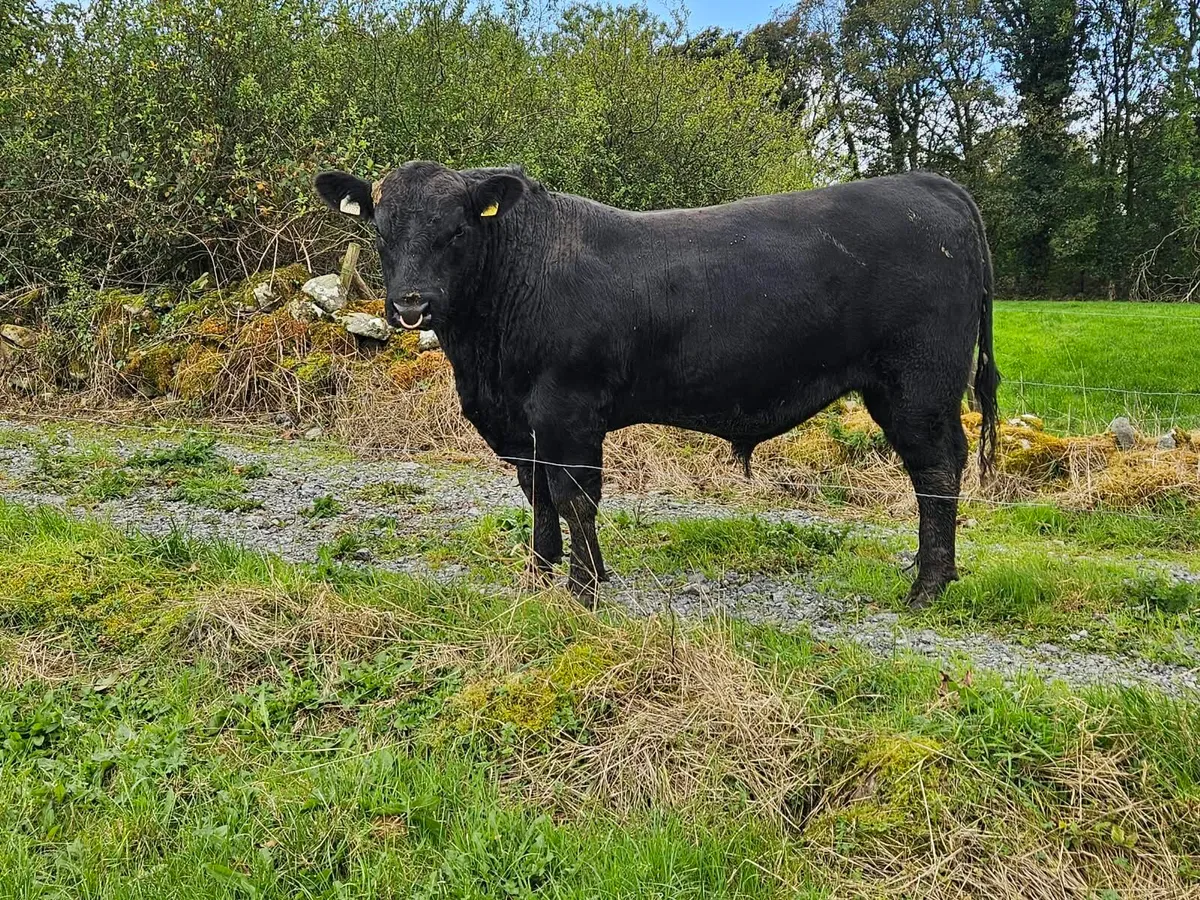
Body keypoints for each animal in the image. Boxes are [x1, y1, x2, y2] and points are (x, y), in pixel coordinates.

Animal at [315, 162, 1000, 609]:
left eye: (456, 231)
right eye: (381, 231)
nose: (410, 303)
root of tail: (932, 185)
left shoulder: (567, 410)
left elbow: (574, 497)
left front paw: (584, 590)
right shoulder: (519, 422)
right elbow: (538, 495)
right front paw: (541, 574)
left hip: (917, 385)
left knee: (937, 471)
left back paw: (926, 587)